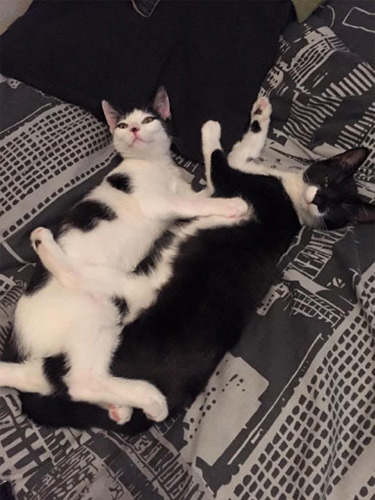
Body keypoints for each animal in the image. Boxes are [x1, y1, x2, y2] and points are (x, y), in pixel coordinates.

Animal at [20, 97, 375, 434]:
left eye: (336, 209)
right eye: (327, 181)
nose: (319, 200)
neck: (292, 200)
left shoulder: (227, 180)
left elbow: (217, 158)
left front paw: (211, 129)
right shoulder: (240, 171)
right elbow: (247, 146)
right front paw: (261, 113)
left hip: (123, 288)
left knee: (81, 360)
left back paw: (44, 243)